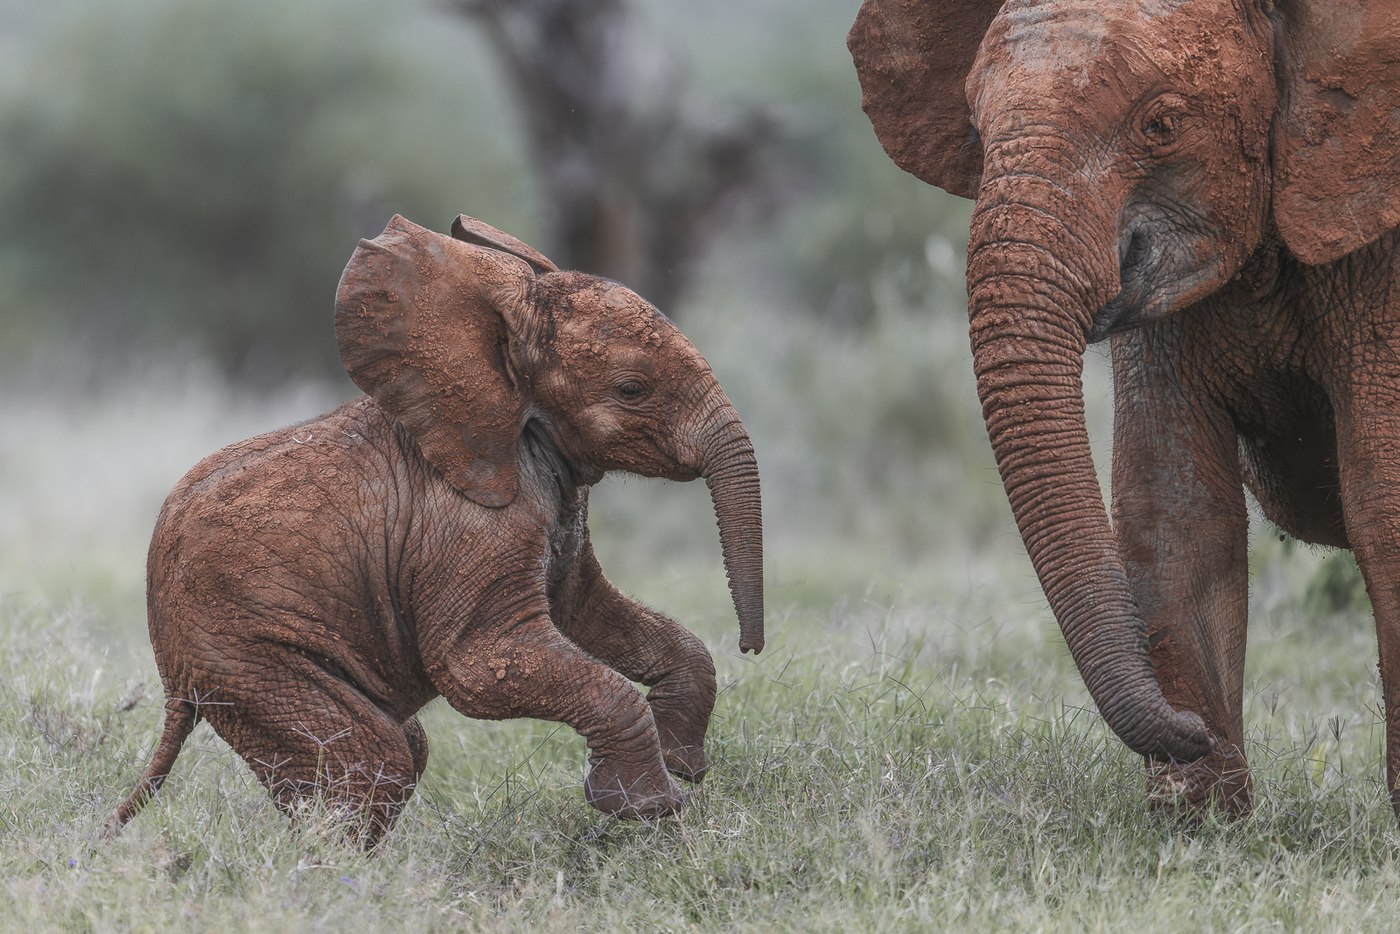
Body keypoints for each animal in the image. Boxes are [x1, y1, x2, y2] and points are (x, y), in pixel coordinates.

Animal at [104, 214, 764, 847]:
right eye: (631, 389)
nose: (751, 648)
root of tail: (171, 678)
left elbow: (589, 611)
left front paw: (682, 767)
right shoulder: (468, 523)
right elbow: (478, 667)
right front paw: (651, 807)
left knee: (400, 749)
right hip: (245, 655)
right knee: (380, 757)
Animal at [850, 0, 1400, 818]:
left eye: (1162, 125)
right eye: (976, 129)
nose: (1187, 736)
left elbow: (1382, 505)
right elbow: (1172, 511)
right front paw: (1200, 819)